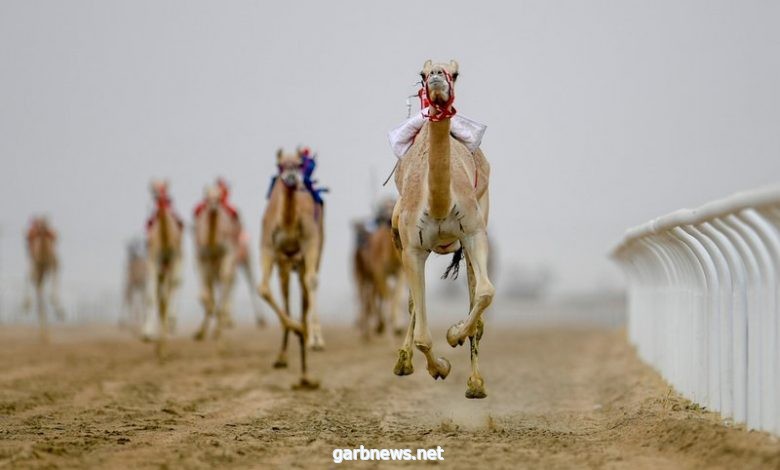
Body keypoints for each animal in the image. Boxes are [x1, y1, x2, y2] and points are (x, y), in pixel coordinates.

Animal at [258, 147, 326, 390]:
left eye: (298, 164)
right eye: (280, 165)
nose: (291, 178)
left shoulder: (311, 241)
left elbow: (312, 281)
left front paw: (315, 339)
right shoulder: (268, 247)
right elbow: (263, 289)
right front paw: (299, 330)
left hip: (312, 251)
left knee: (305, 291)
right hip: (285, 264)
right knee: (287, 296)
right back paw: (285, 356)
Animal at [352, 196, 406, 340]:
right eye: (384, 209)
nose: (389, 218)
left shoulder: (399, 272)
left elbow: (396, 296)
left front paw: (398, 326)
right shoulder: (379, 272)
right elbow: (388, 296)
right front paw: (390, 327)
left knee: (372, 296)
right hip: (361, 274)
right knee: (364, 297)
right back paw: (364, 331)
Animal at [390, 57, 494, 396]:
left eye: (456, 72)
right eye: (423, 73)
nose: (436, 77)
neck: (438, 203)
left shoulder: (473, 232)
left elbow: (485, 293)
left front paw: (454, 334)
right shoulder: (412, 248)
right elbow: (423, 334)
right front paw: (441, 367)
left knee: (475, 293)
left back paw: (475, 383)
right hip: (397, 234)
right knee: (412, 303)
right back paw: (403, 363)